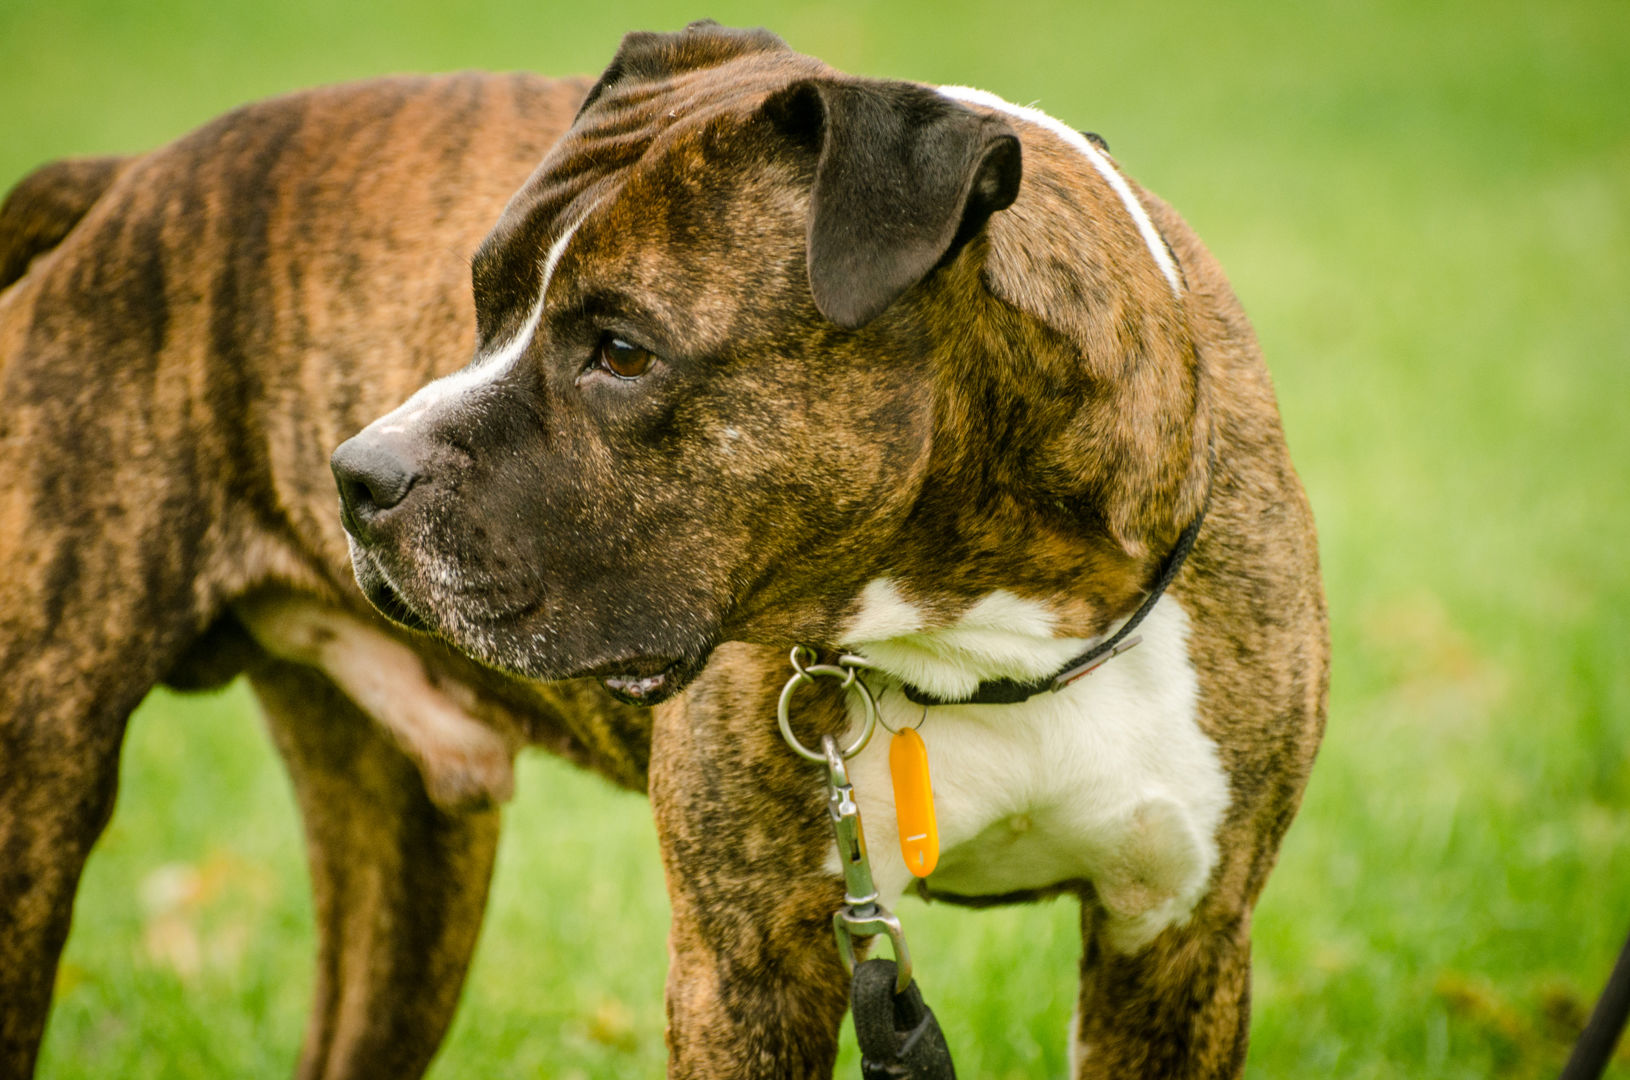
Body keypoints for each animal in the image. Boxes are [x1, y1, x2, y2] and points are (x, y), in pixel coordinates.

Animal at [2, 21, 1327, 1079]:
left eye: (622, 351)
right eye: (480, 300)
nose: (359, 474)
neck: (986, 624)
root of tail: (128, 183)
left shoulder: (1177, 948)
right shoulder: (752, 966)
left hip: (409, 845)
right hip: (39, 792)